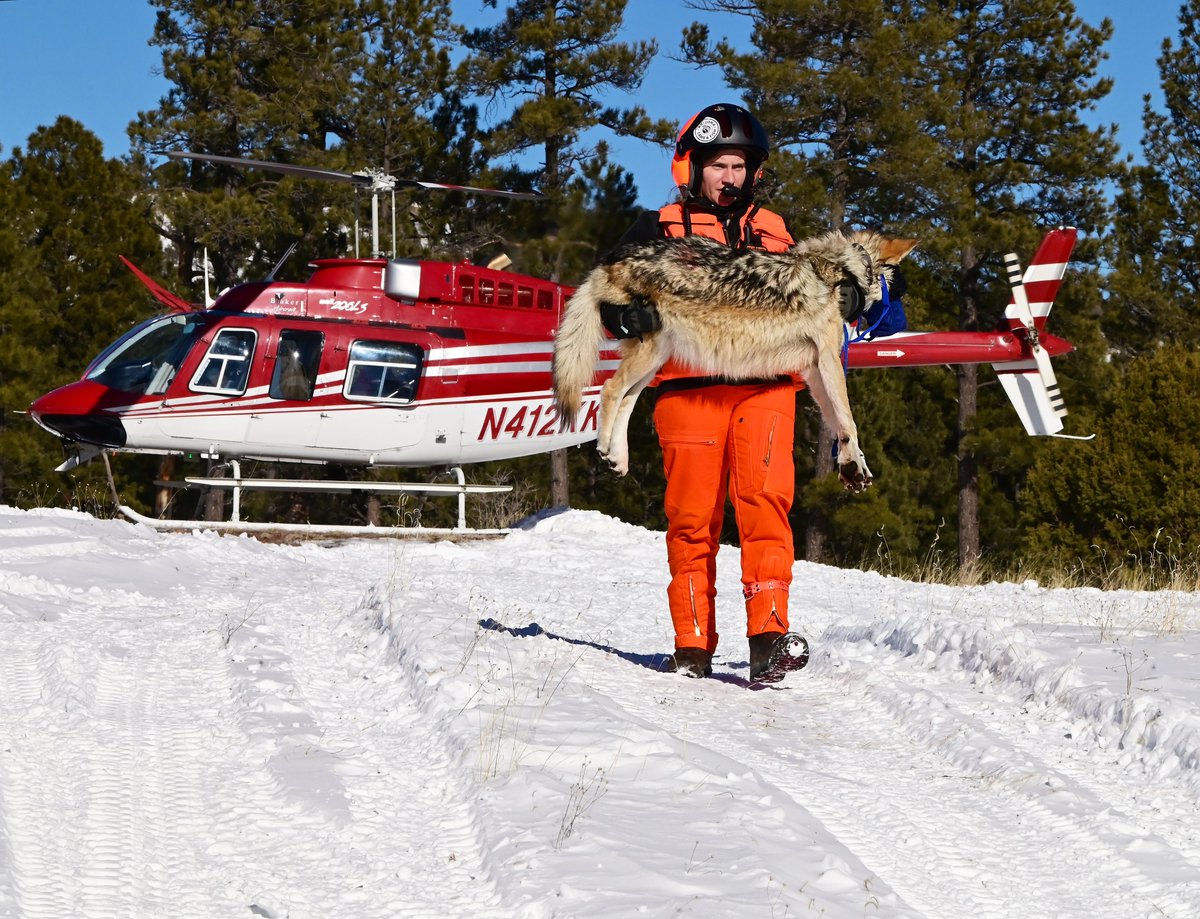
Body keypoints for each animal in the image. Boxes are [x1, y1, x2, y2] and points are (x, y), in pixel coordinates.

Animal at [552, 229, 917, 490]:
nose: (903, 320)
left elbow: (837, 422)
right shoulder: (828, 359)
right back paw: (603, 447)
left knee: (627, 399)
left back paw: (619, 459)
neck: (843, 273)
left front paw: (852, 465)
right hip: (648, 351)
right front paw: (855, 461)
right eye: (898, 290)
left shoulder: (814, 368)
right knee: (610, 390)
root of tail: (611, 257)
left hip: (655, 357)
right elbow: (849, 420)